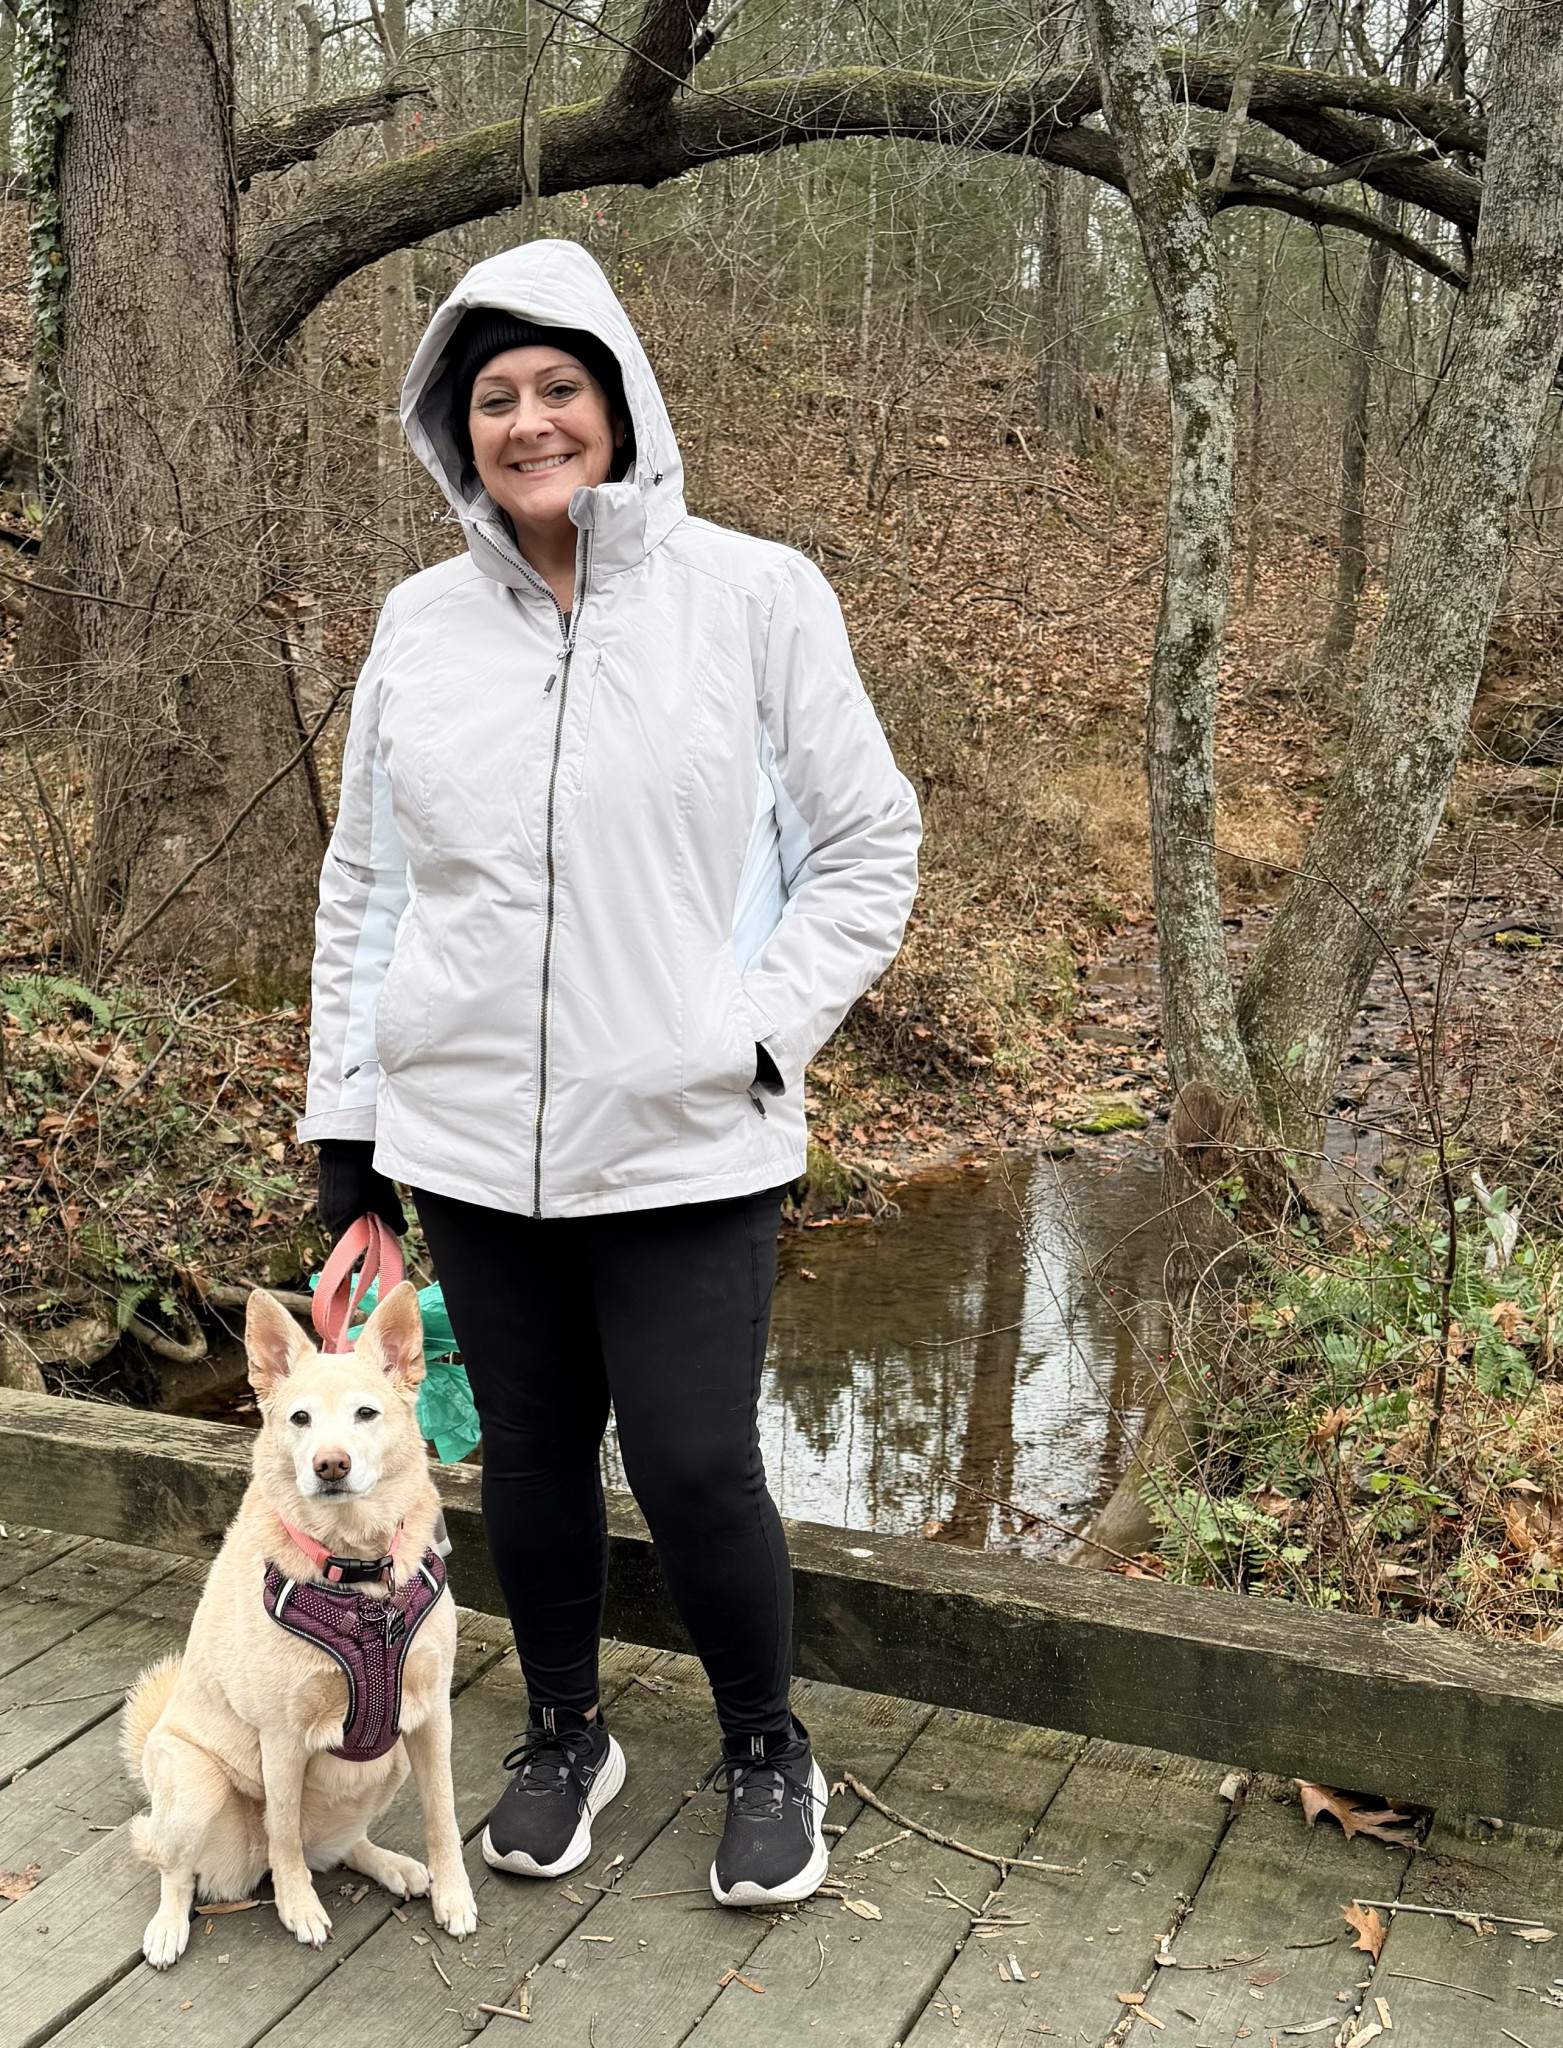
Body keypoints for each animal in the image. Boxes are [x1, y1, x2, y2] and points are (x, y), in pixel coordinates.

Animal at [123, 1281, 478, 1967]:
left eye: (366, 1414)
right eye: (300, 1419)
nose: (330, 1464)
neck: (359, 1575)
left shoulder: (432, 1718)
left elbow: (443, 1813)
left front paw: (453, 1894)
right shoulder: (282, 1736)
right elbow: (283, 1829)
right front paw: (299, 1908)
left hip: (390, 1760)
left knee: (338, 1847)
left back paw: (393, 1865)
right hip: (195, 1784)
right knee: (180, 1868)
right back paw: (167, 1927)